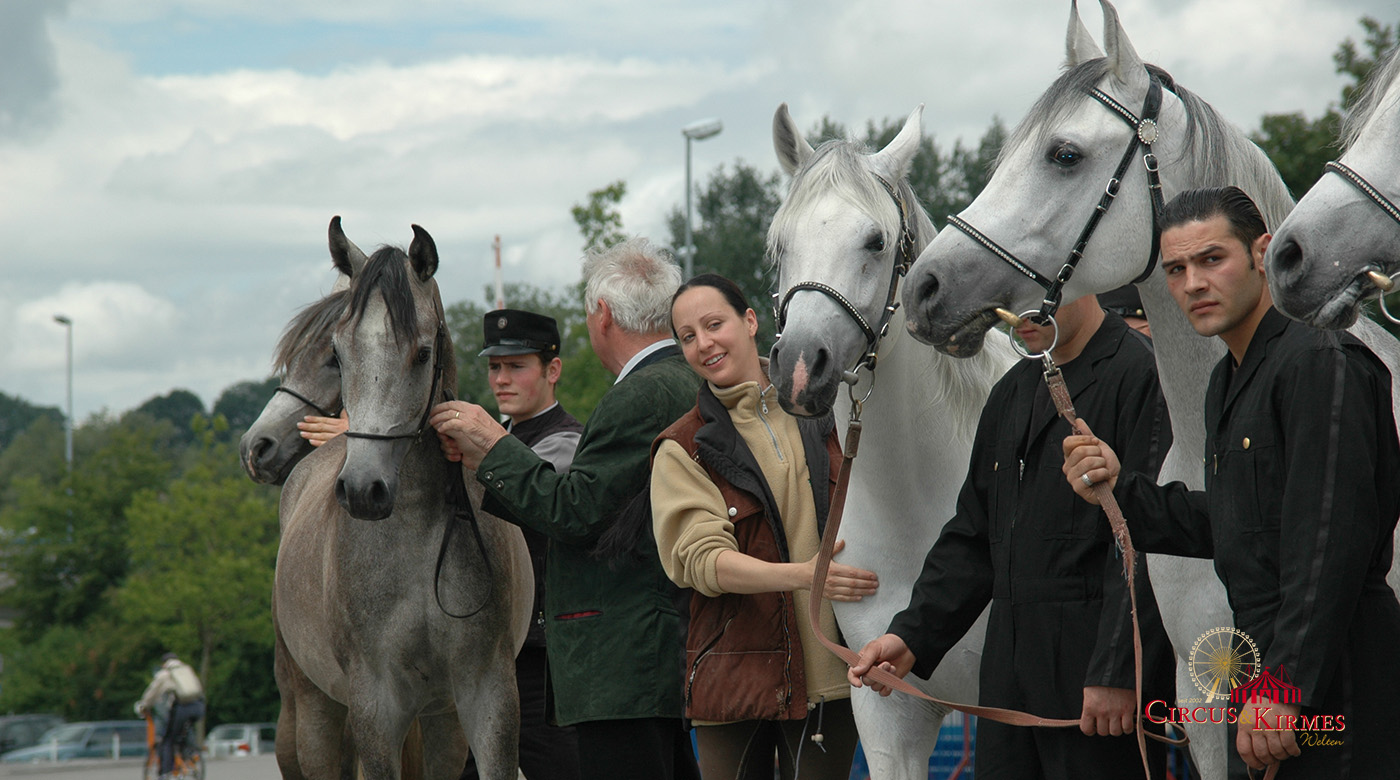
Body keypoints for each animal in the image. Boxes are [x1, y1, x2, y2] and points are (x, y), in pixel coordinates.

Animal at [273, 219, 529, 778]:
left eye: (422, 353)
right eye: (339, 354)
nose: (363, 490)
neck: (416, 534)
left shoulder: (486, 693)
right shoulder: (375, 704)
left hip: (440, 719)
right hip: (312, 704)